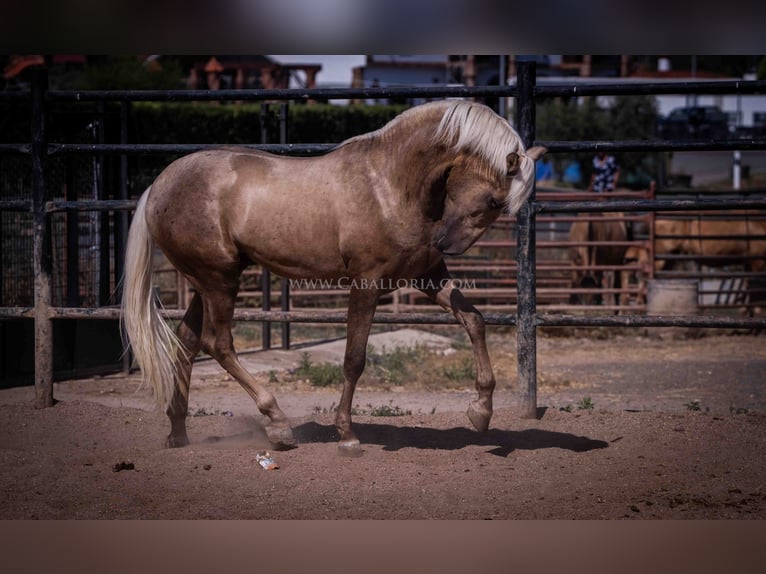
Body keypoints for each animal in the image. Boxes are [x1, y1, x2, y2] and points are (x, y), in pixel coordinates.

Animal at [121, 101, 544, 456]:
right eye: (494, 200)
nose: (445, 244)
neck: (389, 185)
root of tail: (158, 185)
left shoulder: (428, 277)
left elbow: (474, 320)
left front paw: (481, 411)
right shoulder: (366, 283)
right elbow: (354, 359)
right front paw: (347, 435)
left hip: (208, 282)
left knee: (187, 343)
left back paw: (178, 432)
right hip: (218, 280)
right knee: (218, 344)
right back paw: (277, 423)